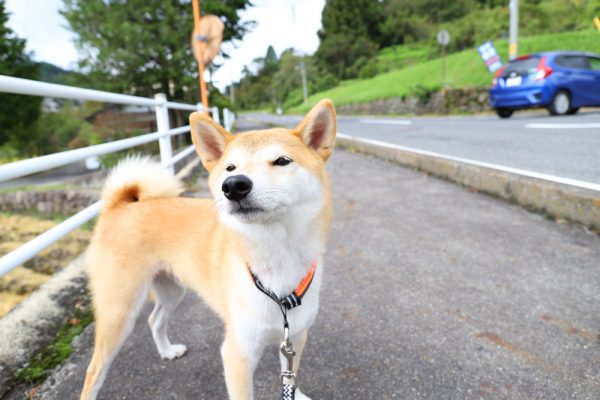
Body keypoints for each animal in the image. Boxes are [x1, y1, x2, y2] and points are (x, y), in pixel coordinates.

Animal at [81, 98, 338, 398]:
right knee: (94, 370)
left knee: (154, 320)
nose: (234, 185)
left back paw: (167, 351)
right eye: (230, 168)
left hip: (171, 290)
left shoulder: (294, 336)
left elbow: (289, 376)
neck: (277, 256)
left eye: (282, 161)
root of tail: (119, 207)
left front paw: (295, 393)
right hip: (119, 311)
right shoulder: (238, 353)